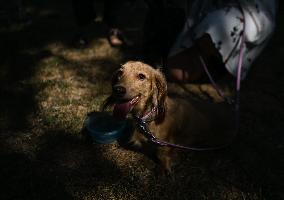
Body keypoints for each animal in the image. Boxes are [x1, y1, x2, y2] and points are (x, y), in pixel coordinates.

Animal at [103, 61, 234, 173]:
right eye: (120, 73)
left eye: (141, 76)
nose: (118, 89)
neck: (149, 118)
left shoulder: (165, 146)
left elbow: (163, 159)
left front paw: (164, 170)